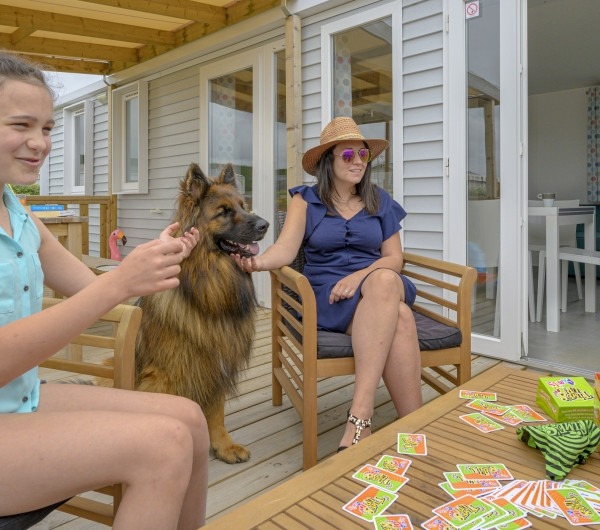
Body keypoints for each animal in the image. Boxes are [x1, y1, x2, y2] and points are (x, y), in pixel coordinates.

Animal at [136, 162, 270, 462]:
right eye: (224, 211)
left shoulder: (215, 362)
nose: (265, 225)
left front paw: (223, 446)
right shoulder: (165, 374)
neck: (210, 289)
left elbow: (216, 412)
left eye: (243, 205)